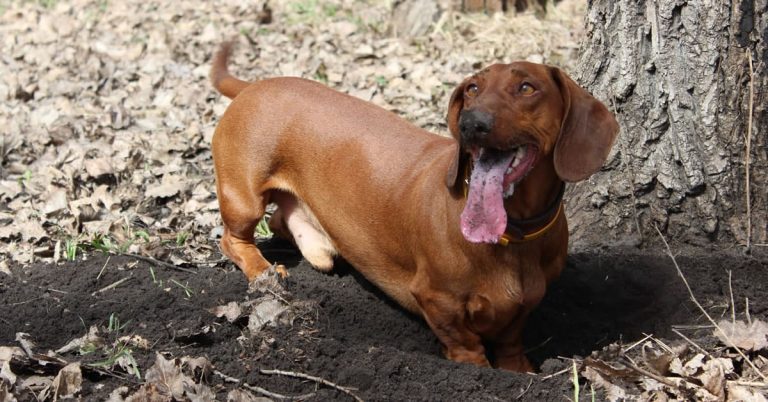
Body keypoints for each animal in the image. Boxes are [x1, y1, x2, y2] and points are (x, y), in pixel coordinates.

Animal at [210, 42, 616, 372]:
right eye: (472, 89)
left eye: (527, 87)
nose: (471, 123)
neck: (513, 236)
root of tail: (252, 86)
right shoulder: (437, 300)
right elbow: (464, 343)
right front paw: (477, 371)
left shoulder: (526, 304)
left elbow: (511, 339)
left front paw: (517, 370)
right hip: (244, 199)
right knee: (233, 240)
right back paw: (263, 270)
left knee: (283, 221)